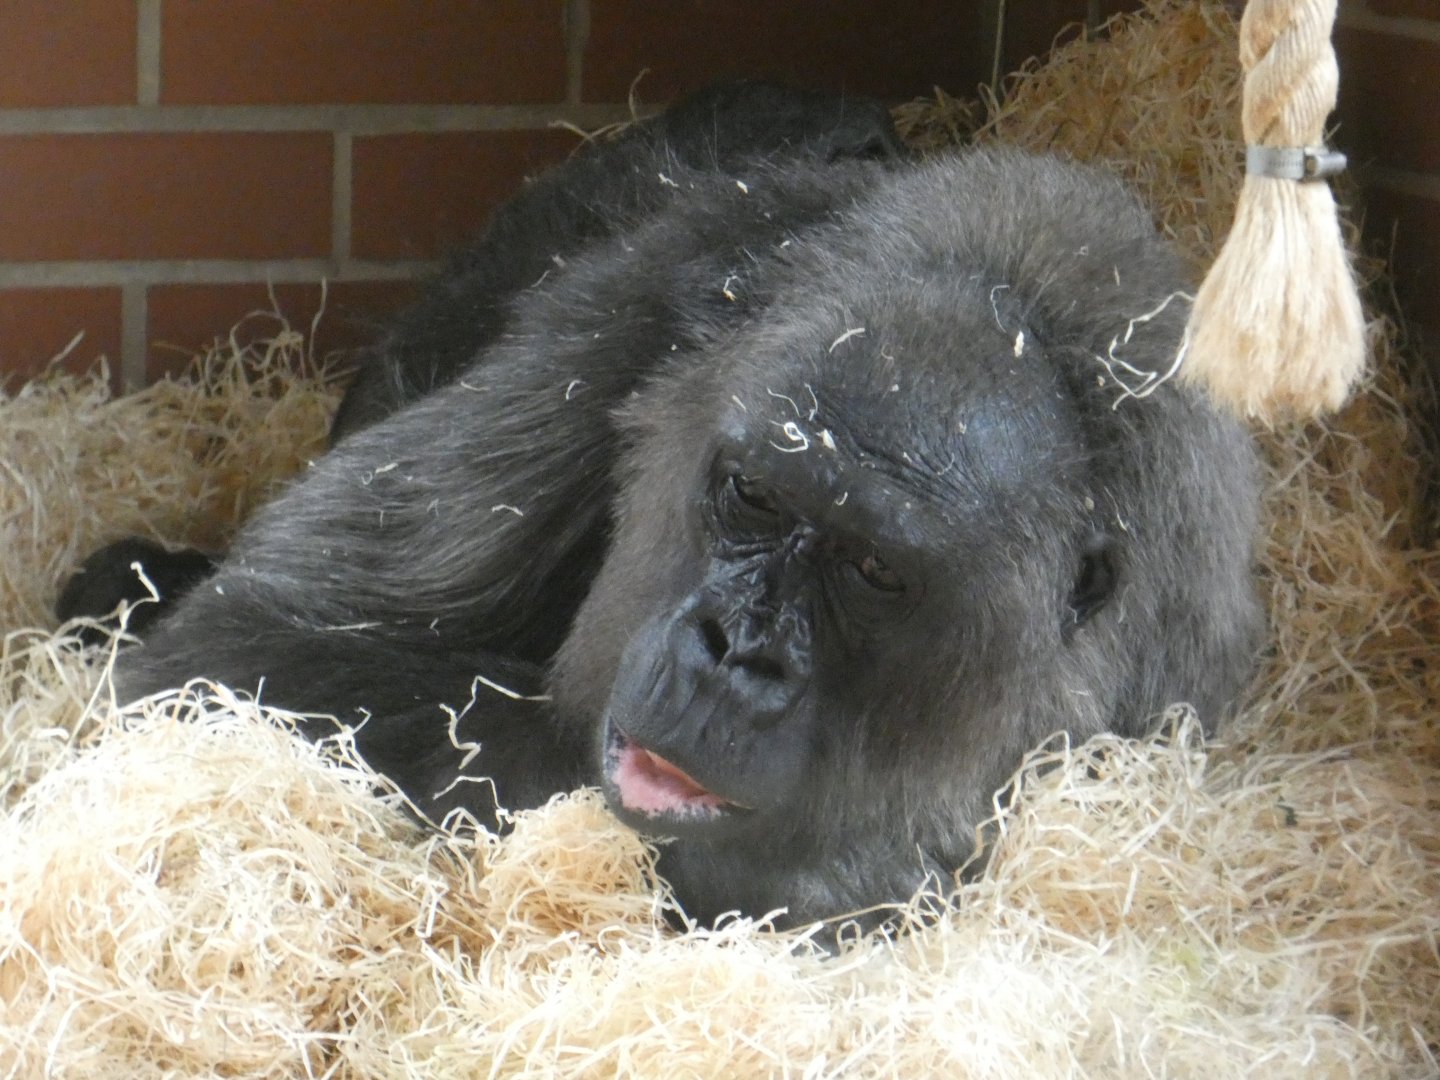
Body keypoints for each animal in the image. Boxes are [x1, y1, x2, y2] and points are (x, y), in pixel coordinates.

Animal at [57, 82, 1262, 932]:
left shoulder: (1175, 659)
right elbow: (261, 642)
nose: (736, 651)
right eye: (753, 495)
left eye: (876, 570)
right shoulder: (646, 318)